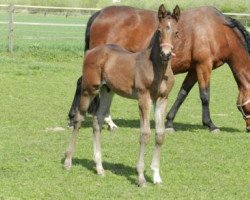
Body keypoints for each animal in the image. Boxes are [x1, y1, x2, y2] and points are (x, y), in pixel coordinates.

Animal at [63, 4, 181, 186]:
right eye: (159, 30)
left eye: (176, 32)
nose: (166, 54)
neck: (156, 67)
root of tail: (92, 51)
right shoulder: (144, 97)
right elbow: (145, 133)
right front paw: (141, 177)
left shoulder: (162, 99)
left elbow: (160, 134)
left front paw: (156, 176)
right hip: (90, 89)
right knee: (79, 118)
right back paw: (68, 161)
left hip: (107, 91)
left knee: (97, 120)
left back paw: (99, 167)